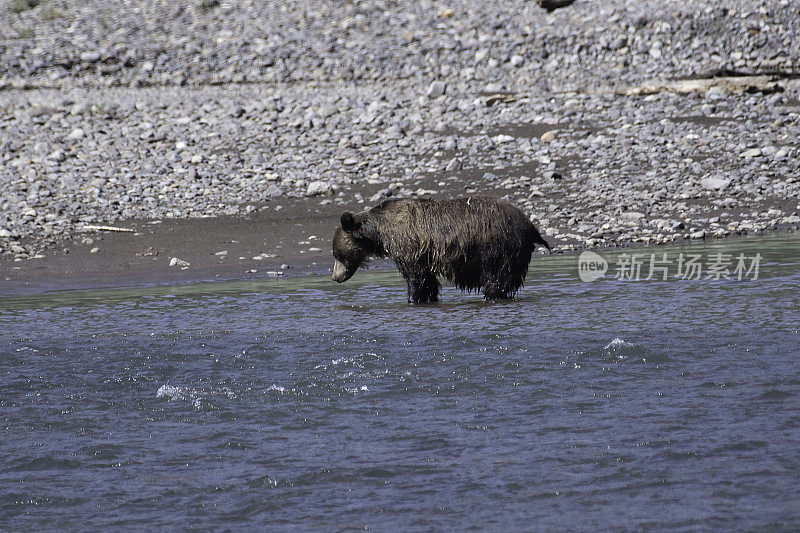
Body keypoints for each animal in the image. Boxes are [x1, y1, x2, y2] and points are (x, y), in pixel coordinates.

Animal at [332, 196, 552, 304]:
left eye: (337, 254)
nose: (335, 277)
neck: (381, 232)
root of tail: (530, 226)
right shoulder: (422, 254)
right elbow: (428, 280)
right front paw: (428, 297)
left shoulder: (408, 246)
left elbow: (415, 278)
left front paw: (413, 299)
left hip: (497, 248)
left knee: (496, 278)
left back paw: (492, 296)